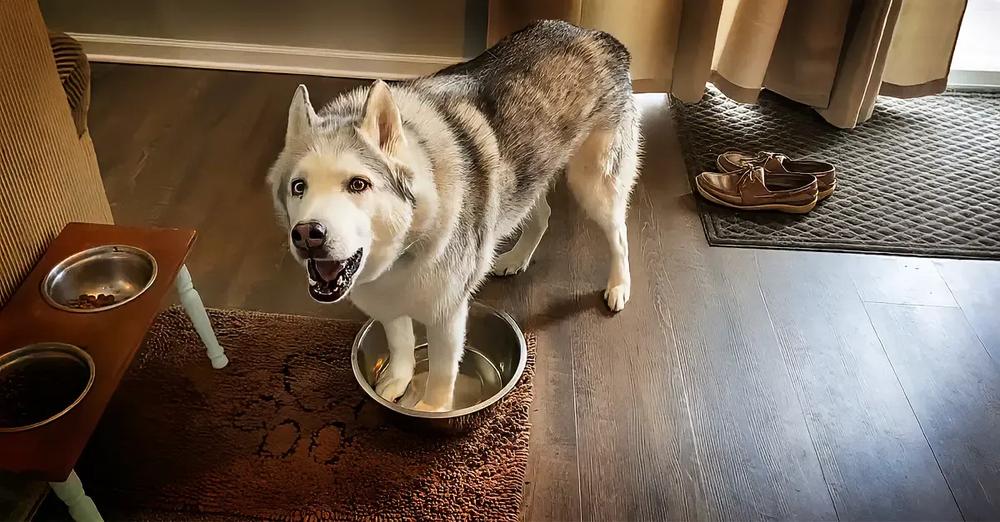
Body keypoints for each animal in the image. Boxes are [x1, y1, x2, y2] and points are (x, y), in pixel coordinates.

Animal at [268, 19, 640, 410]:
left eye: (358, 184)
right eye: (298, 187)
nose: (308, 234)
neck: (406, 243)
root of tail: (596, 35)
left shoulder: (447, 314)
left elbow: (442, 373)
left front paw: (433, 408)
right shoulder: (387, 300)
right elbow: (400, 341)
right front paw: (398, 379)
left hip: (594, 183)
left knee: (619, 236)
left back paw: (619, 286)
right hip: (526, 177)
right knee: (542, 214)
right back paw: (518, 257)